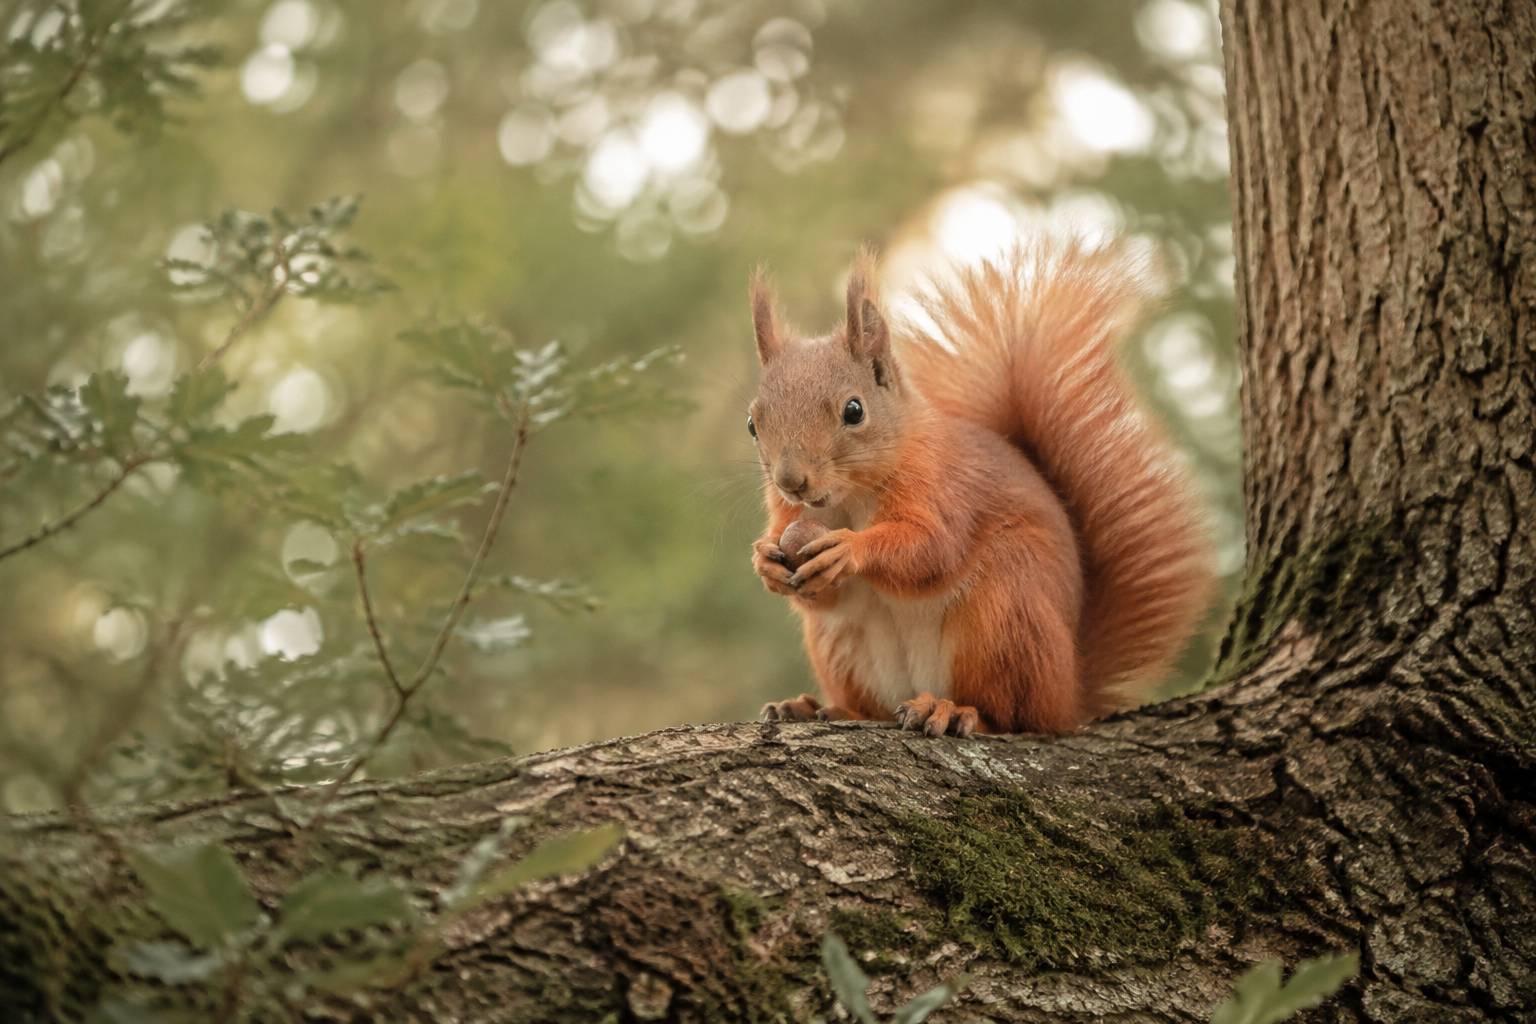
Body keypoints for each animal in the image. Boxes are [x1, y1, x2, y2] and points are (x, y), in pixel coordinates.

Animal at [746, 239, 1215, 737]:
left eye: (854, 410)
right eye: (753, 423)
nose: (791, 481)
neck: (849, 497)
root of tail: (1069, 694)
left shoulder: (943, 486)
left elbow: (930, 548)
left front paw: (848, 549)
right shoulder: (789, 516)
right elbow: (822, 592)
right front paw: (765, 561)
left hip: (1004, 618)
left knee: (1013, 716)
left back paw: (952, 710)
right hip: (842, 645)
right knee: (873, 703)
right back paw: (819, 708)